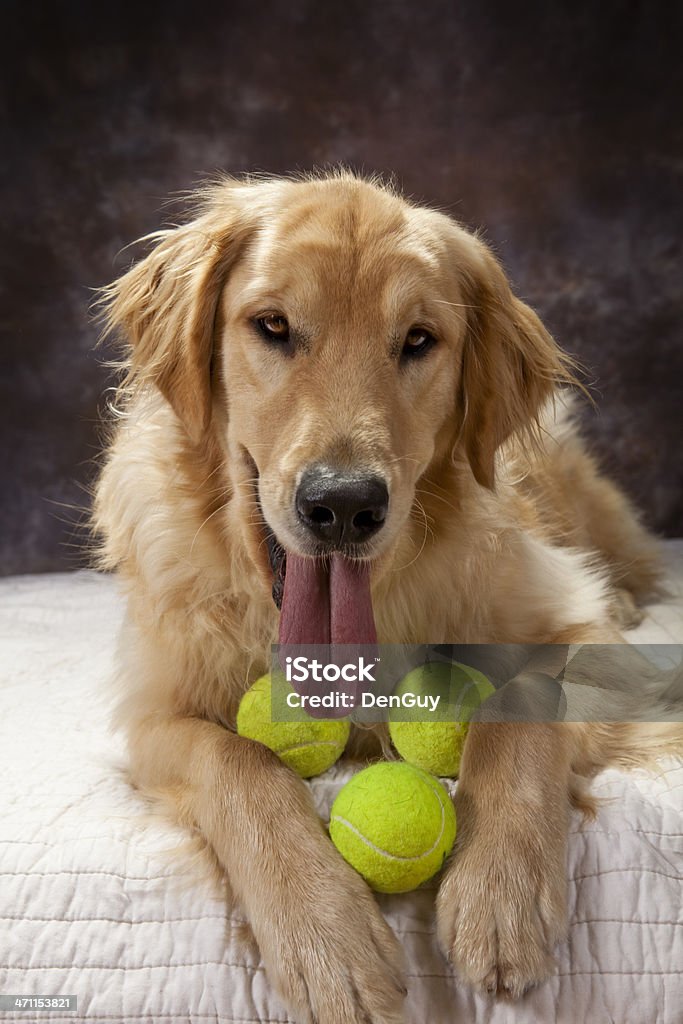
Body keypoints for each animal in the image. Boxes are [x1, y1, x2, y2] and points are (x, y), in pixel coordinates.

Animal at [93, 174, 679, 1024]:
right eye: (273, 326)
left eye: (416, 341)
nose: (342, 505)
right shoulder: (156, 713)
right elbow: (238, 762)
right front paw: (324, 935)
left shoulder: (586, 633)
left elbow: (518, 701)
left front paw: (498, 895)